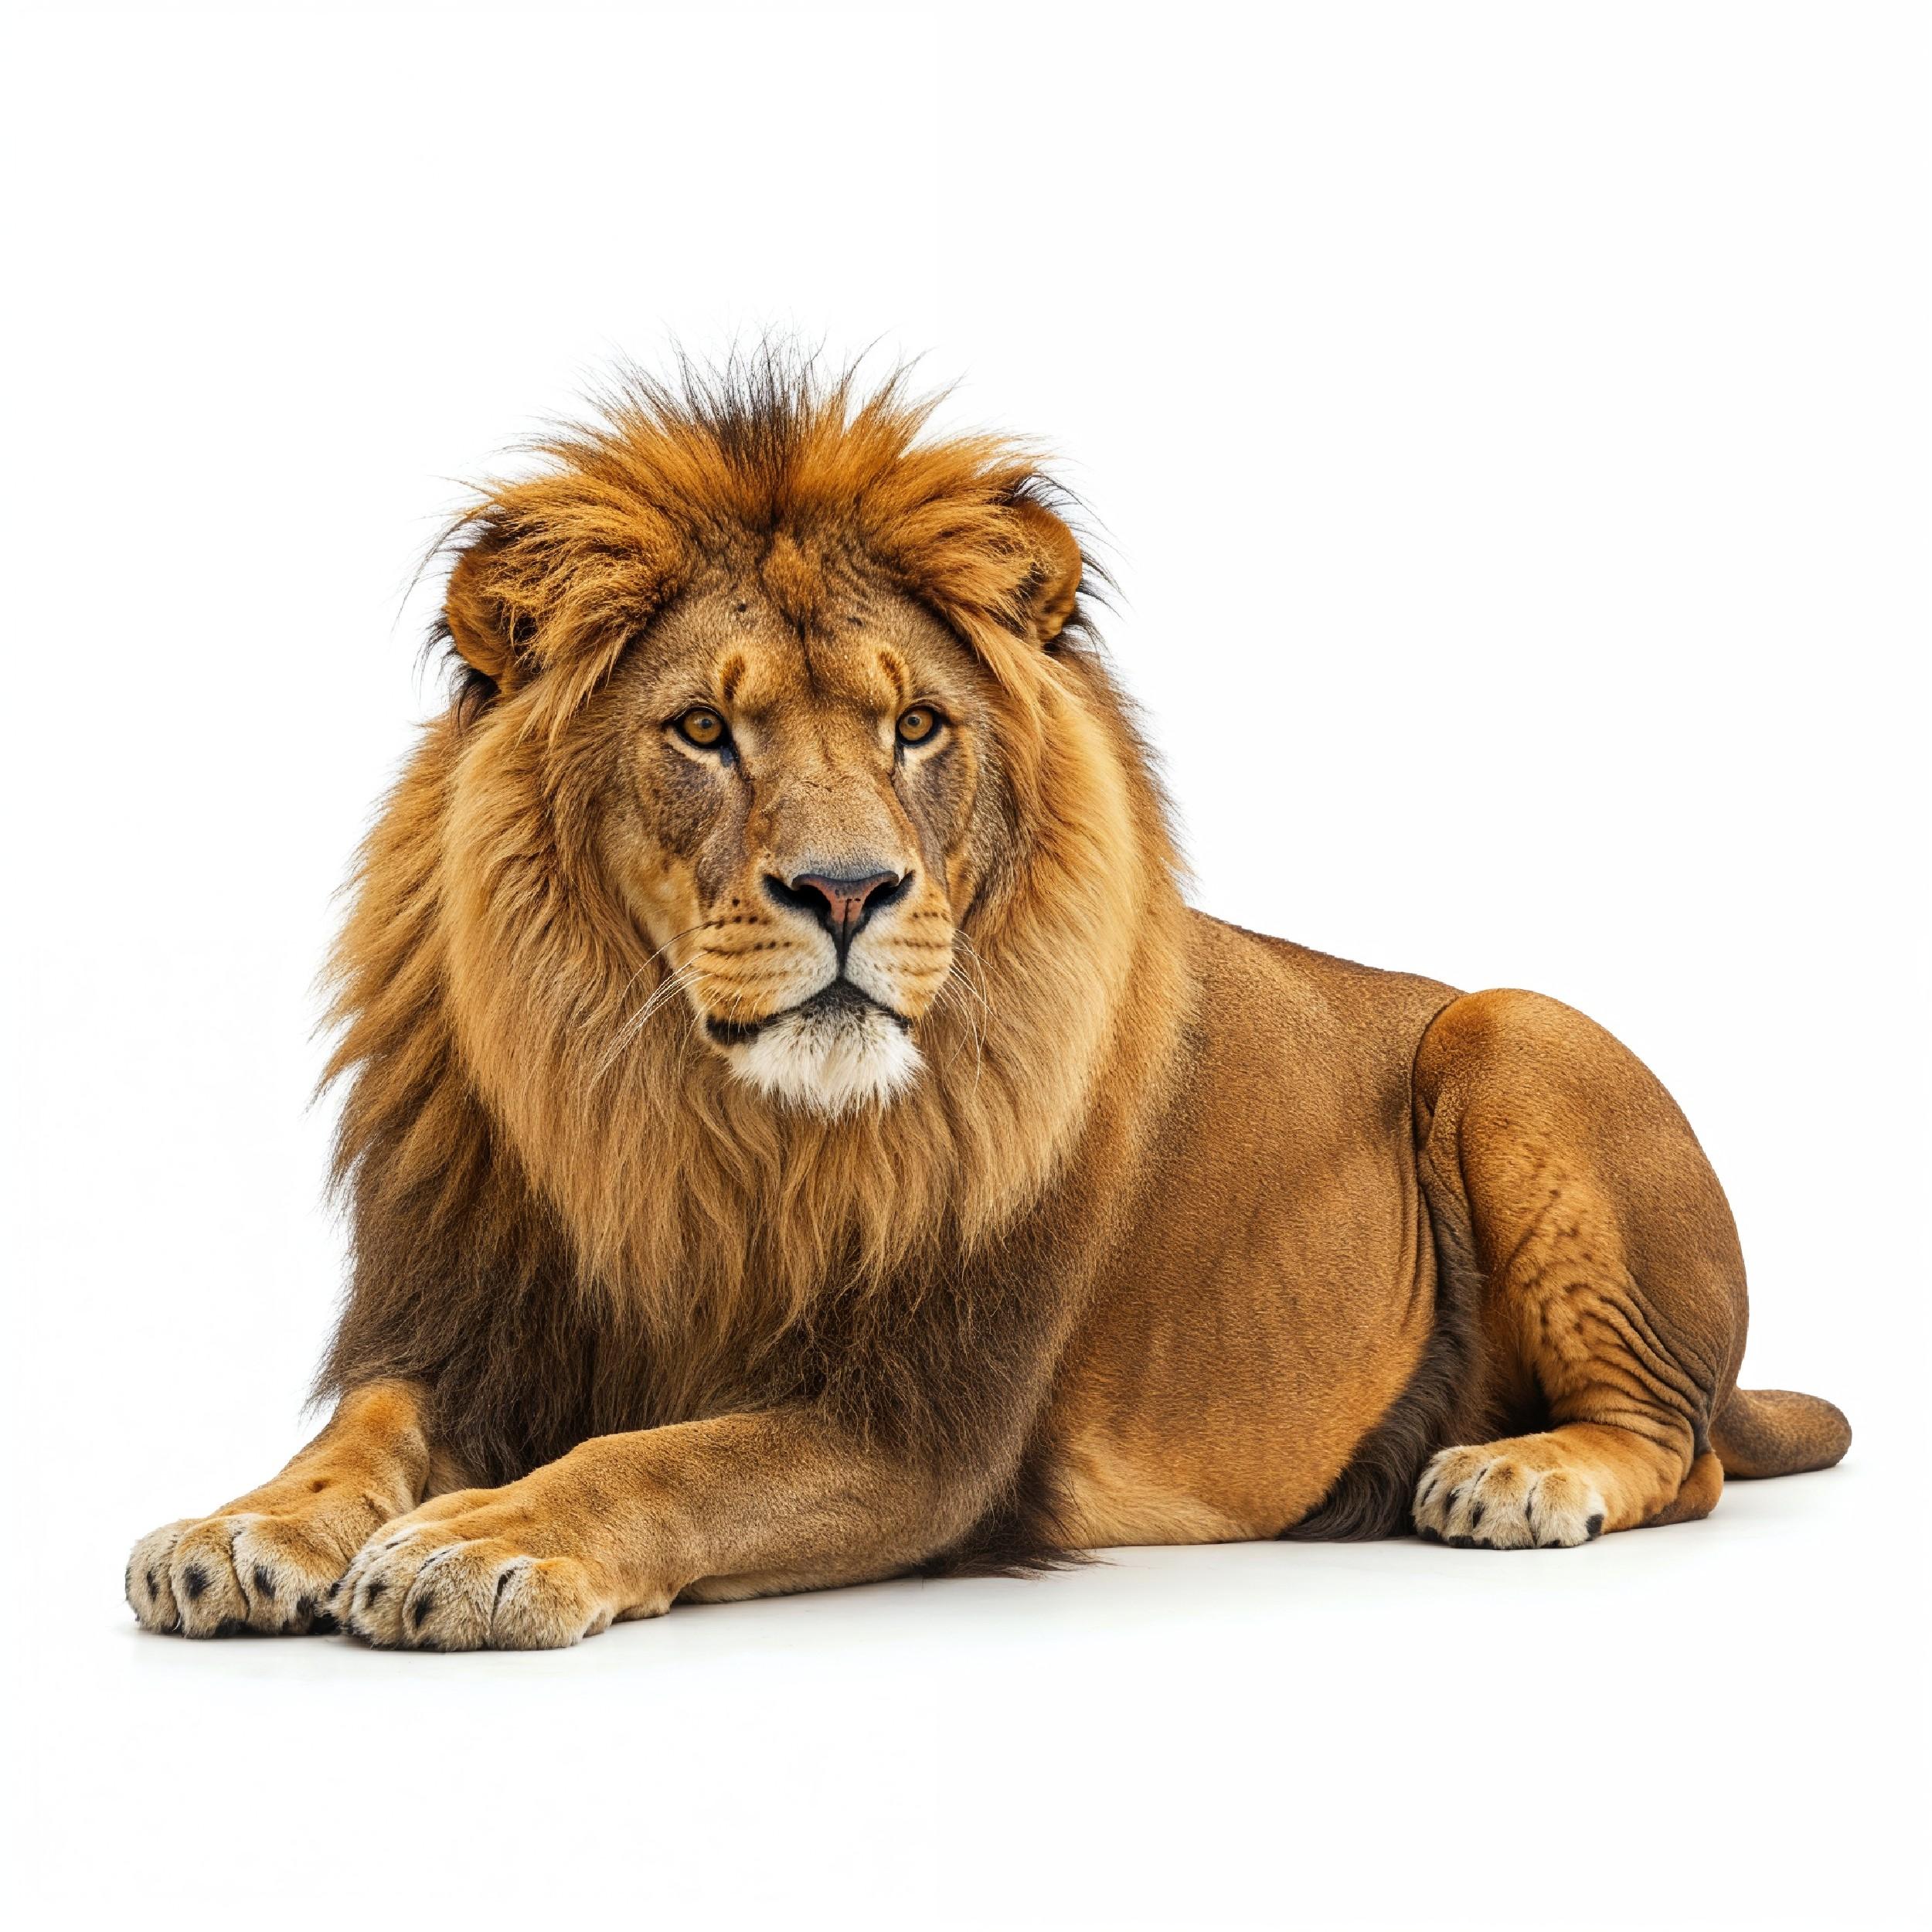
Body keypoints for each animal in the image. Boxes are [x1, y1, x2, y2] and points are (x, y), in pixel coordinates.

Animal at [127, 356, 1850, 1650]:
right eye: (702, 730)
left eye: (915, 727)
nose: (845, 892)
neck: (688, 1123)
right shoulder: (467, 1323)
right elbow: (354, 1438)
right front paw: (238, 1527)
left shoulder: (922, 1425)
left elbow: (664, 1461)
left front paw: (470, 1544)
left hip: (1518, 1031)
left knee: (1683, 1446)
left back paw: (1512, 1475)